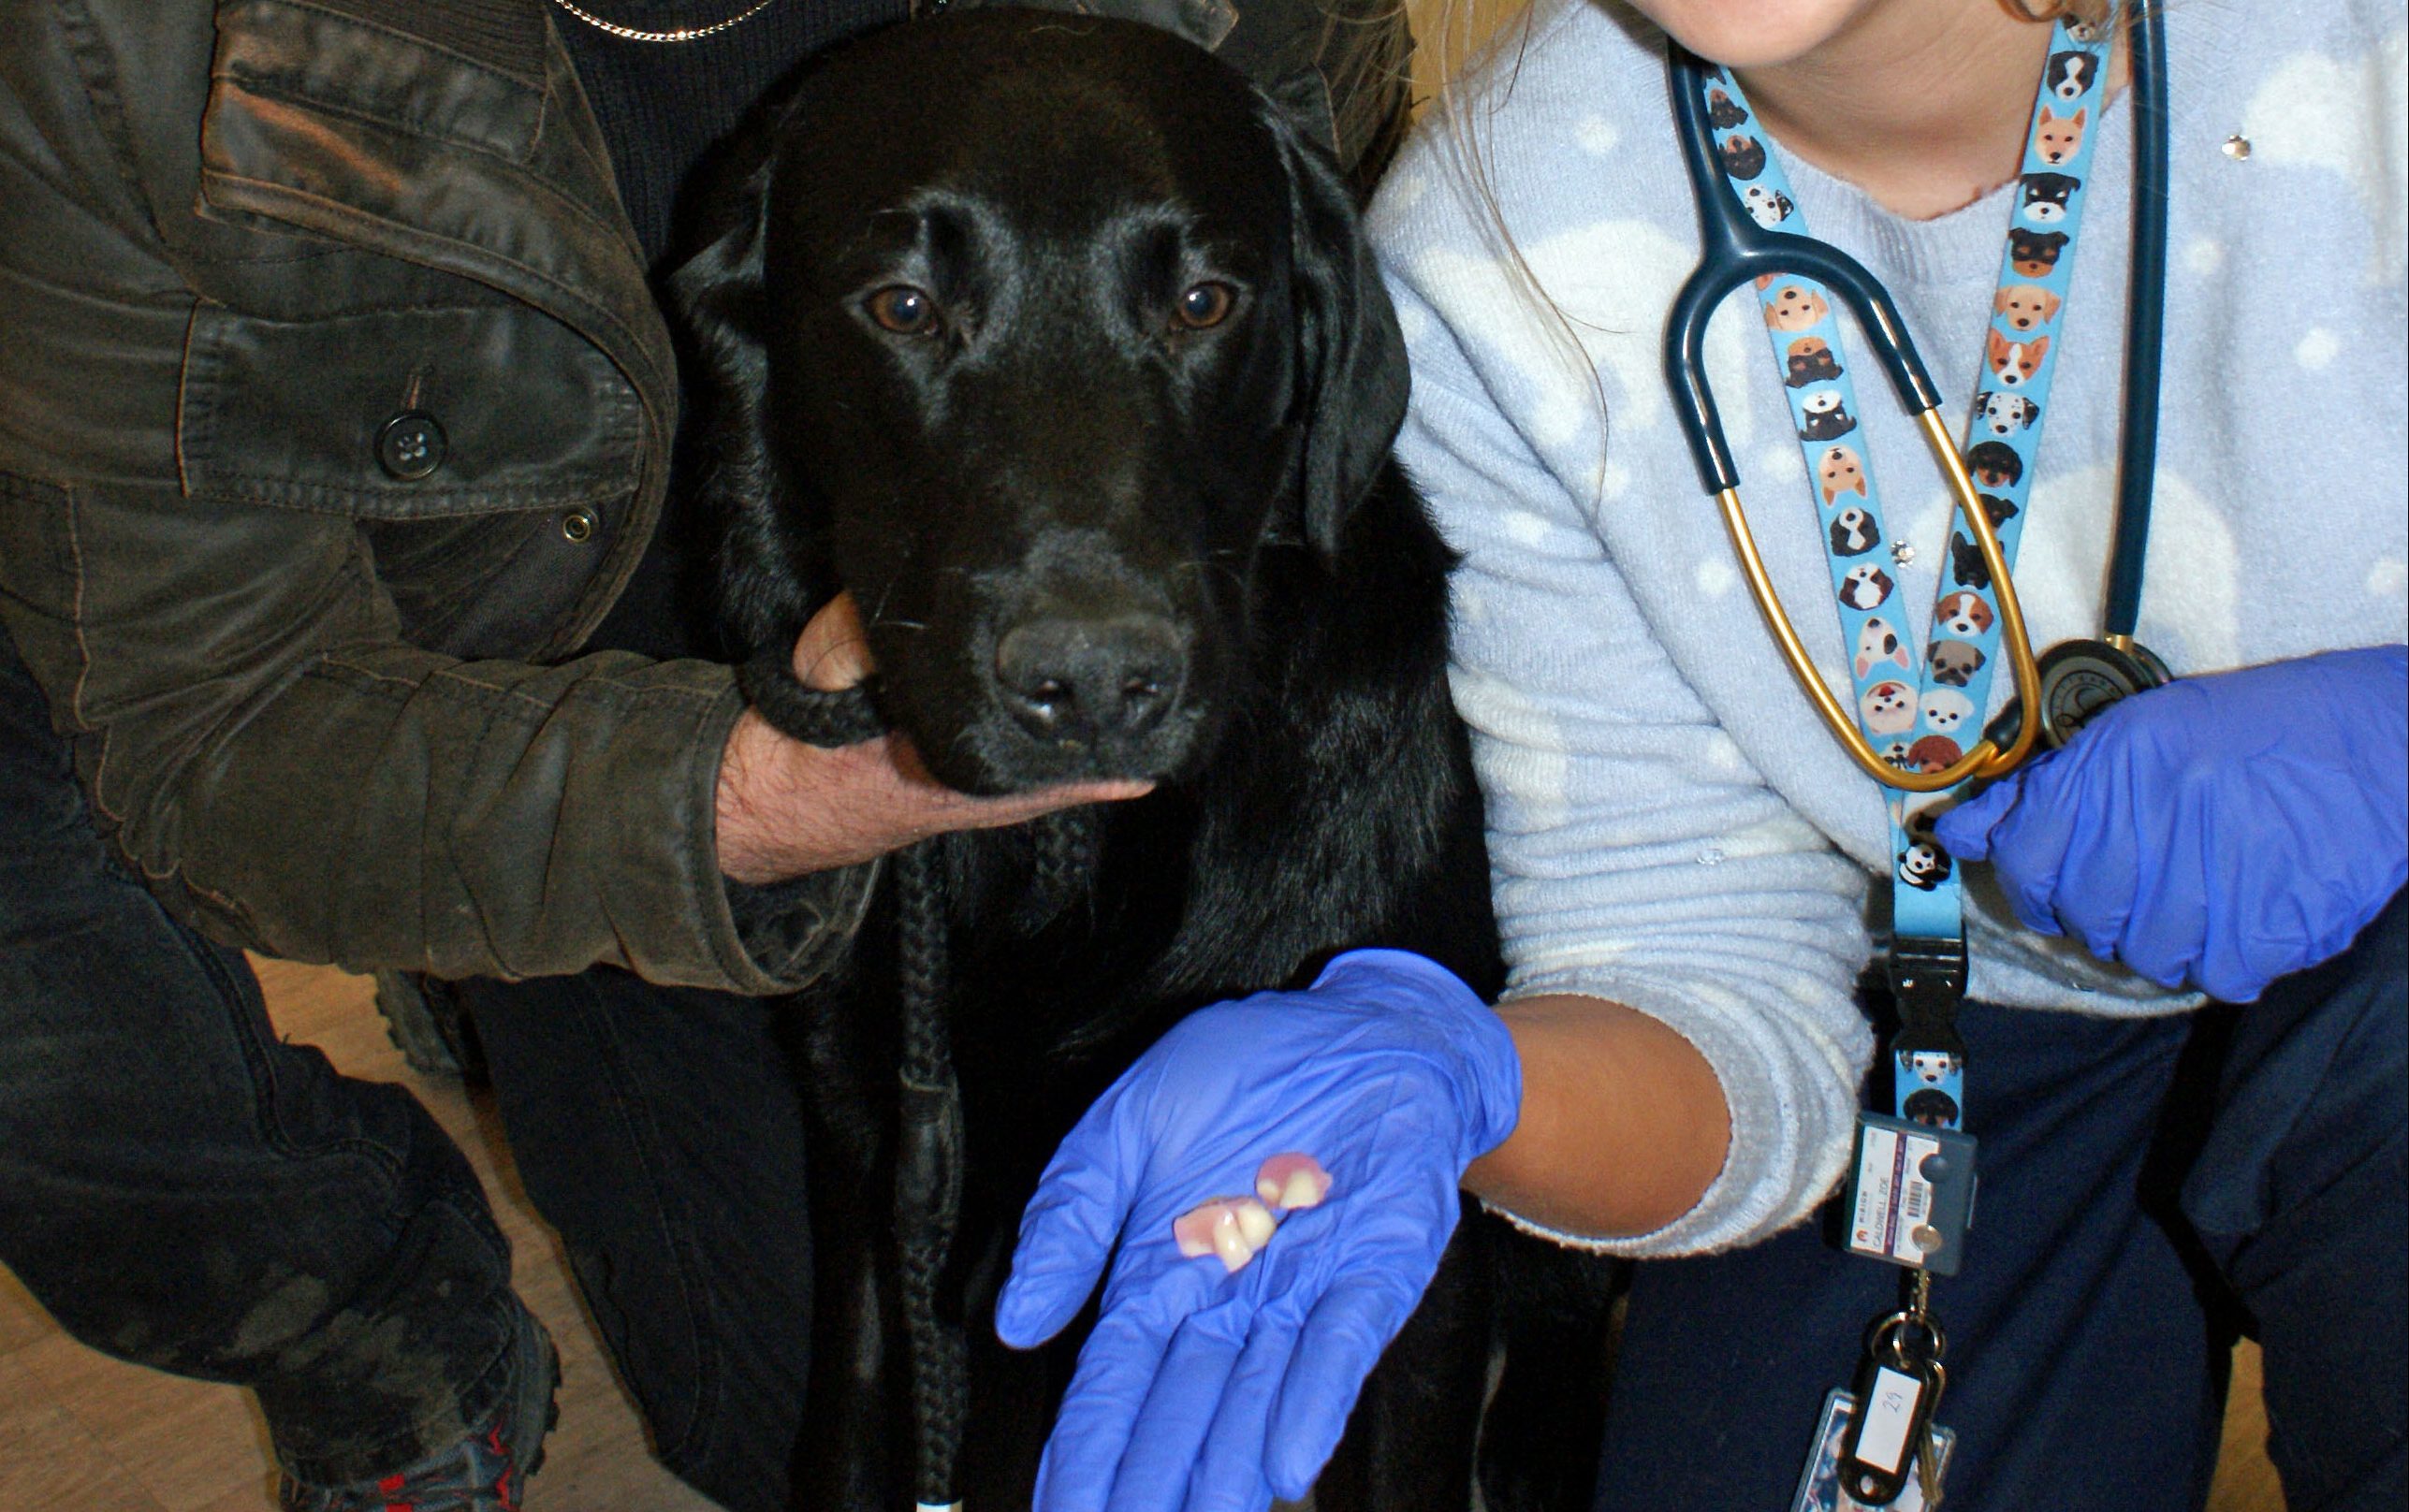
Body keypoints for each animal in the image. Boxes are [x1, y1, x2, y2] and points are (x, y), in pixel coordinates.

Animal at [669, 8, 1609, 1502]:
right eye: (904, 308)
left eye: (1204, 303)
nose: (1096, 685)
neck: (1056, 865)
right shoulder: (871, 1162)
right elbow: (857, 1422)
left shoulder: (1409, 1224)